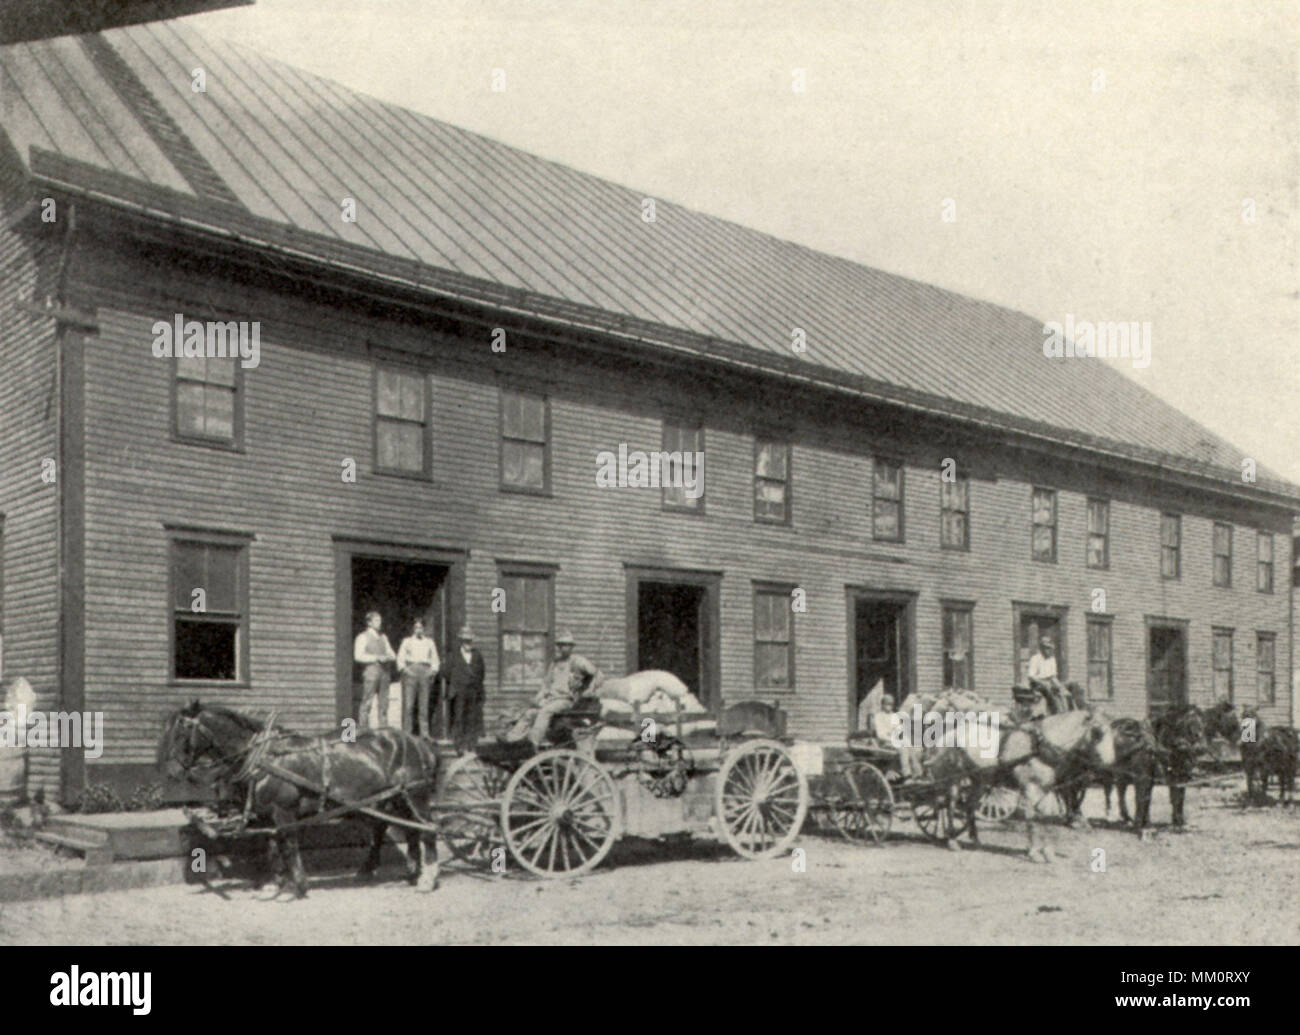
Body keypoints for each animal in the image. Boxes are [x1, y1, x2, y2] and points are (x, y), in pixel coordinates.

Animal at [155, 702, 441, 899]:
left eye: (182, 733)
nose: (170, 772)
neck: (264, 758)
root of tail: (417, 741)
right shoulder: (267, 814)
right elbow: (272, 847)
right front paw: (274, 883)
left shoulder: (284, 810)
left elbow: (289, 846)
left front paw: (298, 886)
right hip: (395, 799)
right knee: (407, 831)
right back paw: (410, 872)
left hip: (414, 796)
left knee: (427, 830)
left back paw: (428, 878)